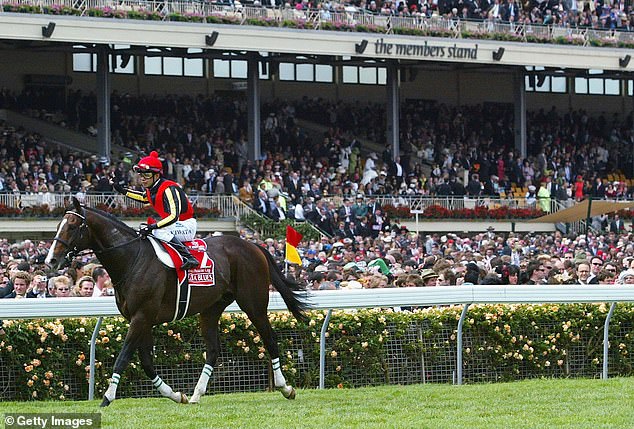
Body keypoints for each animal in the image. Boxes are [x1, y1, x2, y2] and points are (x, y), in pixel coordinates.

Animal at [43, 197, 308, 404]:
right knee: (213, 350)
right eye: (58, 225)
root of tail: (254, 246)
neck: (131, 259)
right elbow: (146, 362)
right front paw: (175, 394)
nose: (50, 261)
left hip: (253, 302)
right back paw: (196, 394)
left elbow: (124, 356)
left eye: (73, 226)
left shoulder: (141, 317)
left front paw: (107, 397)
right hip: (211, 308)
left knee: (270, 338)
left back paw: (286, 388)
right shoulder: (141, 319)